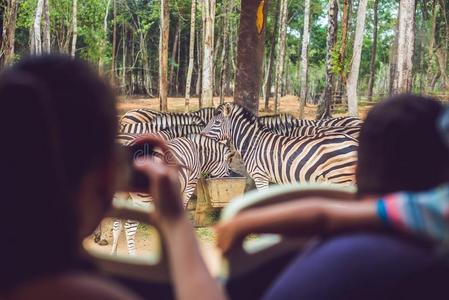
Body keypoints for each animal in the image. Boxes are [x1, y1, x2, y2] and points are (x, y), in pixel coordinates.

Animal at [201, 103, 358, 190]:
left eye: (216, 123)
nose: (201, 134)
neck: (253, 143)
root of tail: (353, 141)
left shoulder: (260, 176)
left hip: (341, 179)